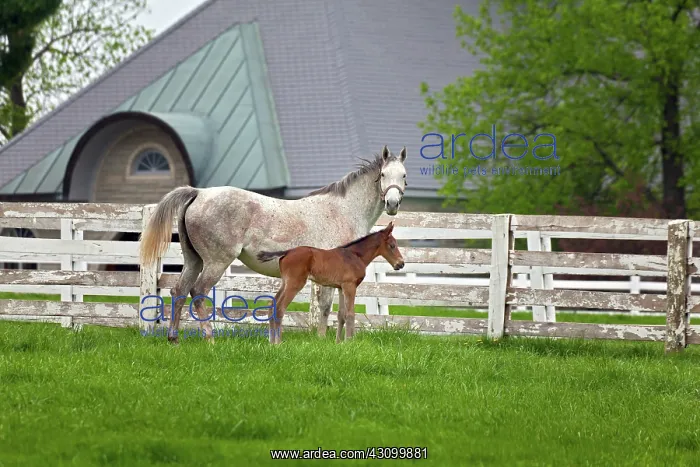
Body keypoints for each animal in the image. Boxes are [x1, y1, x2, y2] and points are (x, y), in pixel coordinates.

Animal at [257, 222, 404, 344]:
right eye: (392, 245)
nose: (401, 264)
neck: (355, 256)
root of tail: (287, 252)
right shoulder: (350, 286)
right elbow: (350, 314)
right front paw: (349, 342)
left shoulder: (341, 287)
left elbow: (341, 315)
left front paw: (338, 342)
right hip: (295, 283)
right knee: (280, 308)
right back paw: (278, 343)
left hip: (285, 282)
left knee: (271, 305)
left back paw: (271, 342)